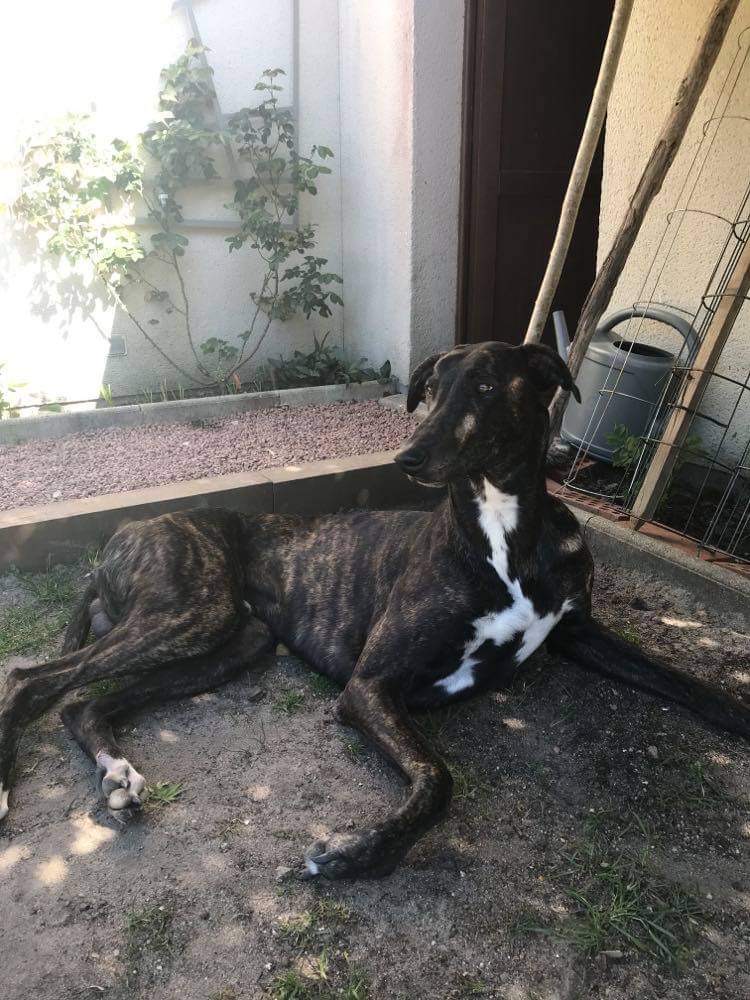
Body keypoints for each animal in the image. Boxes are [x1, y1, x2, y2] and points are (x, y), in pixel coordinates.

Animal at [0, 341, 747, 879]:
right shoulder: (369, 685)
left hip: (233, 642)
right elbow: (439, 779)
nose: (407, 457)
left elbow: (691, 685)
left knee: (82, 703)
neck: (504, 531)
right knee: (32, 678)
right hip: (189, 612)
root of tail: (119, 539)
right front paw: (358, 856)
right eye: (431, 389)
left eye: (484, 385)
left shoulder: (580, 629)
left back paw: (116, 774)